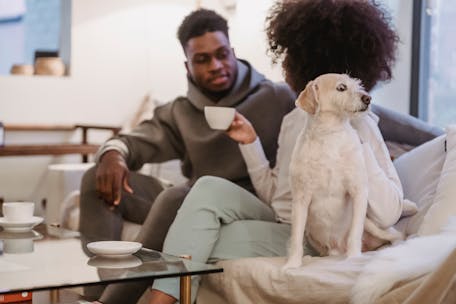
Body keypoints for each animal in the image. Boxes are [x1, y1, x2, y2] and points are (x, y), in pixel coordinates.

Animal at [284, 75, 404, 270]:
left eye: (357, 84)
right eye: (341, 88)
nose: (367, 98)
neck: (330, 134)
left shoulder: (358, 191)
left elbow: (355, 232)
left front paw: (354, 258)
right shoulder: (301, 198)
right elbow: (296, 238)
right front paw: (293, 264)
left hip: (374, 226)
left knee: (397, 236)